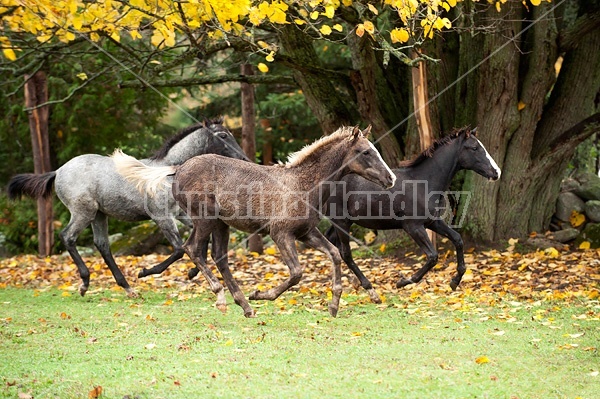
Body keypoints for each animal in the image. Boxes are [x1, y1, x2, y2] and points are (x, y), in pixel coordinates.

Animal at [7, 118, 246, 296]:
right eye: (223, 136)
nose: (244, 158)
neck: (167, 172)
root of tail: (57, 171)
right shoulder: (161, 217)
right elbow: (179, 249)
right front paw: (145, 272)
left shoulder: (181, 215)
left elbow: (197, 245)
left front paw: (191, 272)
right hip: (83, 212)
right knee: (68, 237)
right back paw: (85, 282)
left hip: (99, 215)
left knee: (102, 244)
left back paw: (127, 287)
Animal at [113, 126, 396, 318]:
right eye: (365, 152)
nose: (391, 178)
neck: (303, 185)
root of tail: (178, 168)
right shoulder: (280, 234)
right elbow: (297, 273)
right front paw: (261, 294)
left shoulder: (306, 232)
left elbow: (335, 254)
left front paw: (334, 305)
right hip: (204, 218)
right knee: (194, 249)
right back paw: (223, 297)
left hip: (220, 224)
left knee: (218, 256)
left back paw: (244, 306)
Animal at [324, 127, 502, 304]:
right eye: (474, 148)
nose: (496, 172)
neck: (424, 182)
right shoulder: (413, 227)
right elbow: (433, 256)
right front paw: (402, 282)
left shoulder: (433, 222)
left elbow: (457, 239)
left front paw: (454, 281)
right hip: (341, 222)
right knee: (345, 253)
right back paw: (370, 291)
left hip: (340, 223)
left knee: (334, 247)